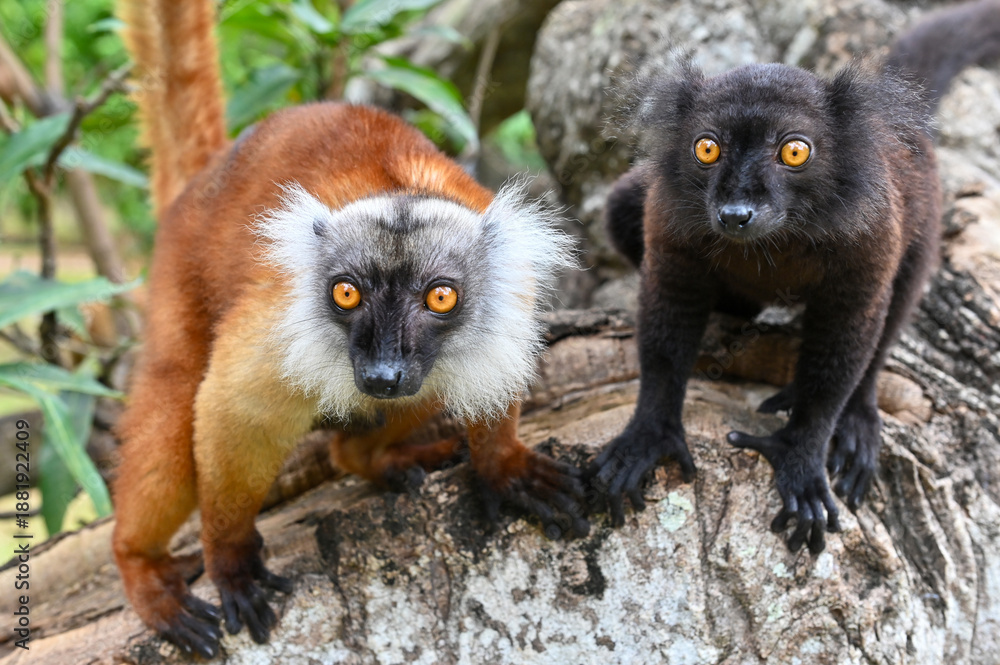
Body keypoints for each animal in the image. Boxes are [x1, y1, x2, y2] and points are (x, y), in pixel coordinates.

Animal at [112, 0, 587, 658]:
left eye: (440, 296)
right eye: (346, 292)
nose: (383, 373)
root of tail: (208, 175)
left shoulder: (510, 292)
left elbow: (493, 375)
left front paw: (503, 466)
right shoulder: (279, 317)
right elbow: (237, 411)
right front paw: (229, 558)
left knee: (422, 390)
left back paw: (372, 455)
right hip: (179, 271)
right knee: (177, 394)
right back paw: (138, 564)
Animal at [589, 0, 1000, 556]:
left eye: (794, 152)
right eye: (706, 149)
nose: (735, 213)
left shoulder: (870, 228)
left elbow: (846, 337)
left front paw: (801, 455)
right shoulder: (669, 217)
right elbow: (666, 325)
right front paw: (648, 436)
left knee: (902, 294)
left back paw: (858, 417)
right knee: (620, 208)